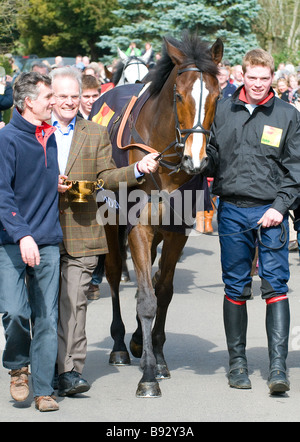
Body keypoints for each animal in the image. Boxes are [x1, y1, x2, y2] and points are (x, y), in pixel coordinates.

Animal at [98, 32, 223, 398]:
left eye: (217, 96)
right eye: (179, 95)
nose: (196, 160)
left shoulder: (176, 231)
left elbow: (162, 291)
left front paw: (159, 358)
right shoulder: (138, 229)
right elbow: (146, 299)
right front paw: (149, 375)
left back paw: (139, 341)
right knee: (114, 274)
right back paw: (120, 346)